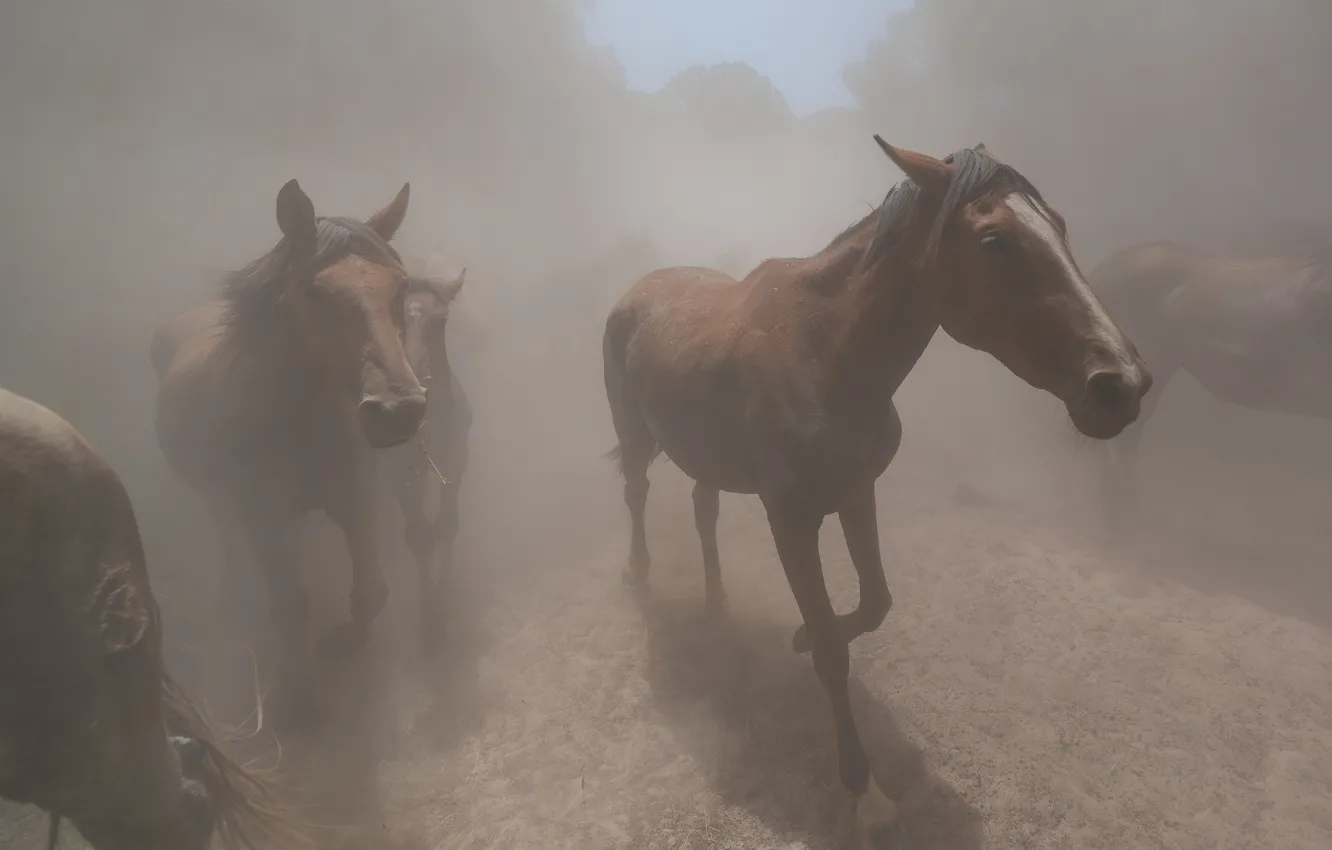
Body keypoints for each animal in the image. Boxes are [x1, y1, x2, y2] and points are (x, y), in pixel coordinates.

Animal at [151, 179, 427, 723]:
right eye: (314, 293)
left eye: (402, 285)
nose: (398, 411)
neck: (300, 426)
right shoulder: (265, 520)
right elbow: (288, 604)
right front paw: (300, 699)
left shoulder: (356, 502)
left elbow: (371, 591)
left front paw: (341, 643)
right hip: (222, 500)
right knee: (227, 532)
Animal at [602, 138, 1151, 847]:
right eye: (994, 240)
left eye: (1058, 226)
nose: (1122, 385)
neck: (823, 353)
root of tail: (638, 290)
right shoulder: (792, 519)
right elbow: (836, 652)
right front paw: (865, 792)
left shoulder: (856, 494)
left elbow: (873, 603)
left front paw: (803, 636)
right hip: (634, 433)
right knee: (637, 493)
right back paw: (639, 573)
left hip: (703, 452)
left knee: (704, 510)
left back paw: (718, 602)